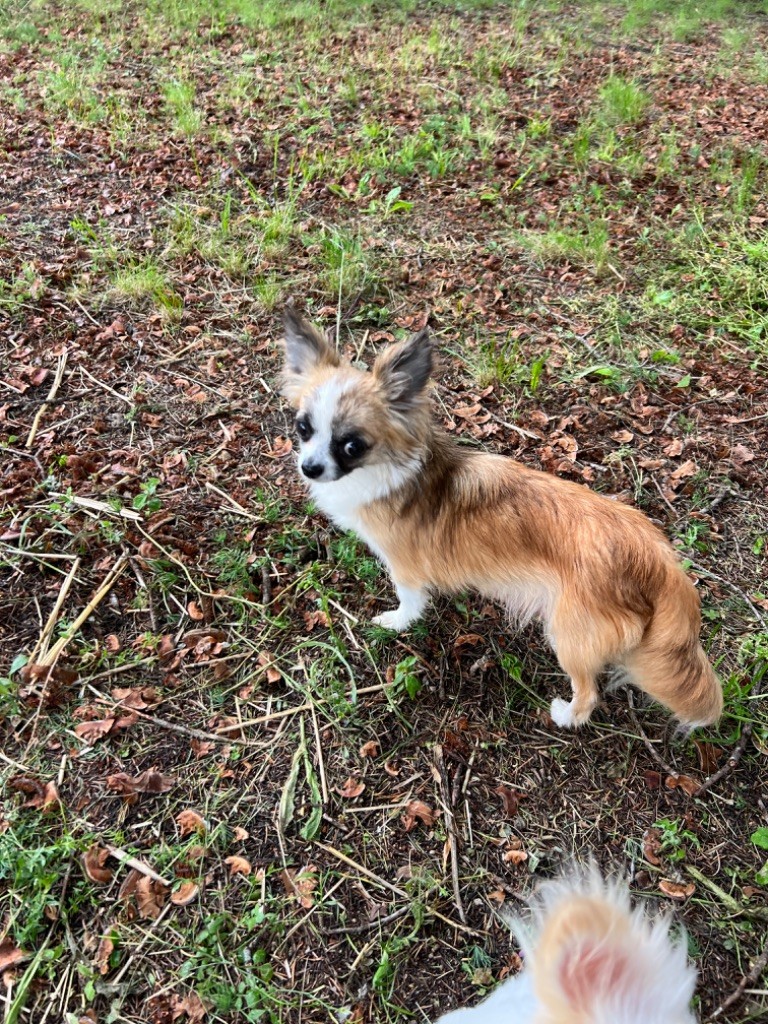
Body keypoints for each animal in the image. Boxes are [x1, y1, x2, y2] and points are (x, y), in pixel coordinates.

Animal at [280, 303, 724, 729]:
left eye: (352, 445)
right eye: (303, 428)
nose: (310, 468)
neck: (391, 471)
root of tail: (657, 562)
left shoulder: (405, 566)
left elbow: (409, 600)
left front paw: (396, 621)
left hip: (569, 635)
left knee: (588, 693)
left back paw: (566, 716)